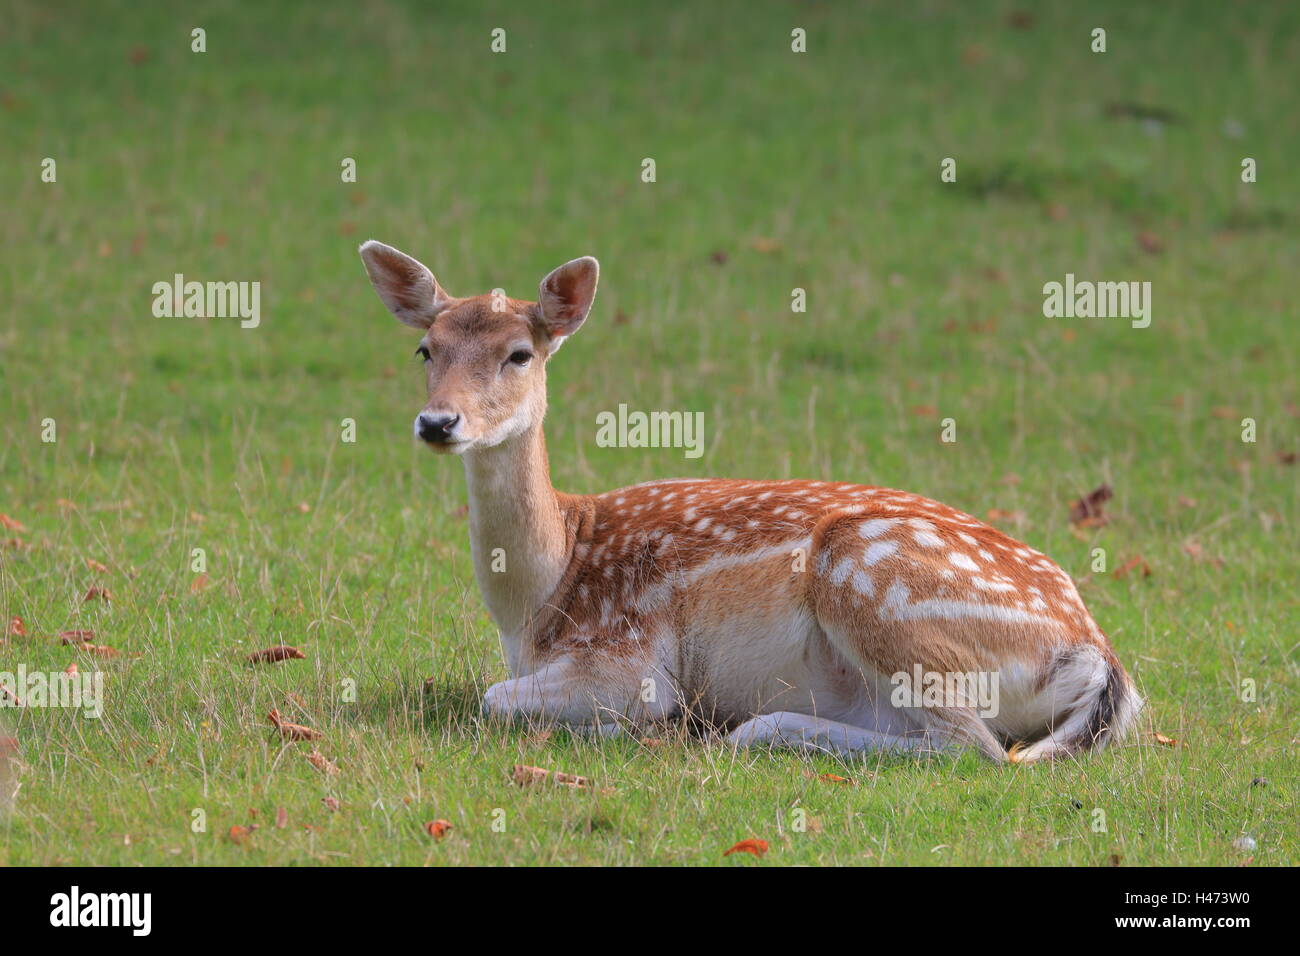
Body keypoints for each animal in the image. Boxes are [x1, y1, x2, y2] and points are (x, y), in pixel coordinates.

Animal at [359, 240, 1142, 763]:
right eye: (426, 349)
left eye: (519, 353)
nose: (438, 422)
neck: (541, 601)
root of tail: (1094, 653)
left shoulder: (627, 659)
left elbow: (495, 699)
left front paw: (631, 726)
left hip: (876, 586)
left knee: (973, 746)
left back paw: (739, 729)